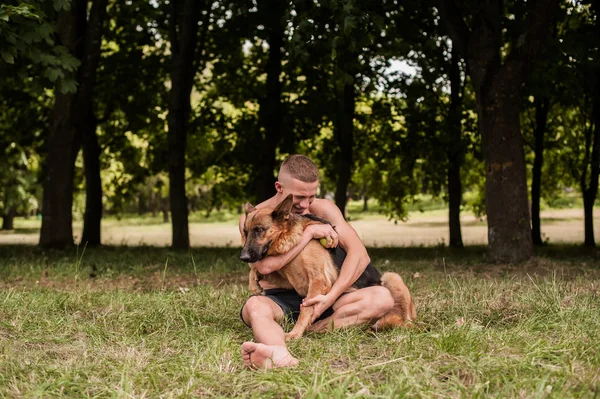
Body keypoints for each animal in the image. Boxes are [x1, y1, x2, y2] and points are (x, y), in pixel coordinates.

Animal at [239, 194, 418, 340]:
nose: (243, 257)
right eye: (245, 232)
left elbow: (306, 309)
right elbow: (256, 270)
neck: (294, 238)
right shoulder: (290, 280)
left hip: (391, 277)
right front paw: (255, 285)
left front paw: (295, 333)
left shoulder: (319, 281)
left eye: (259, 230)